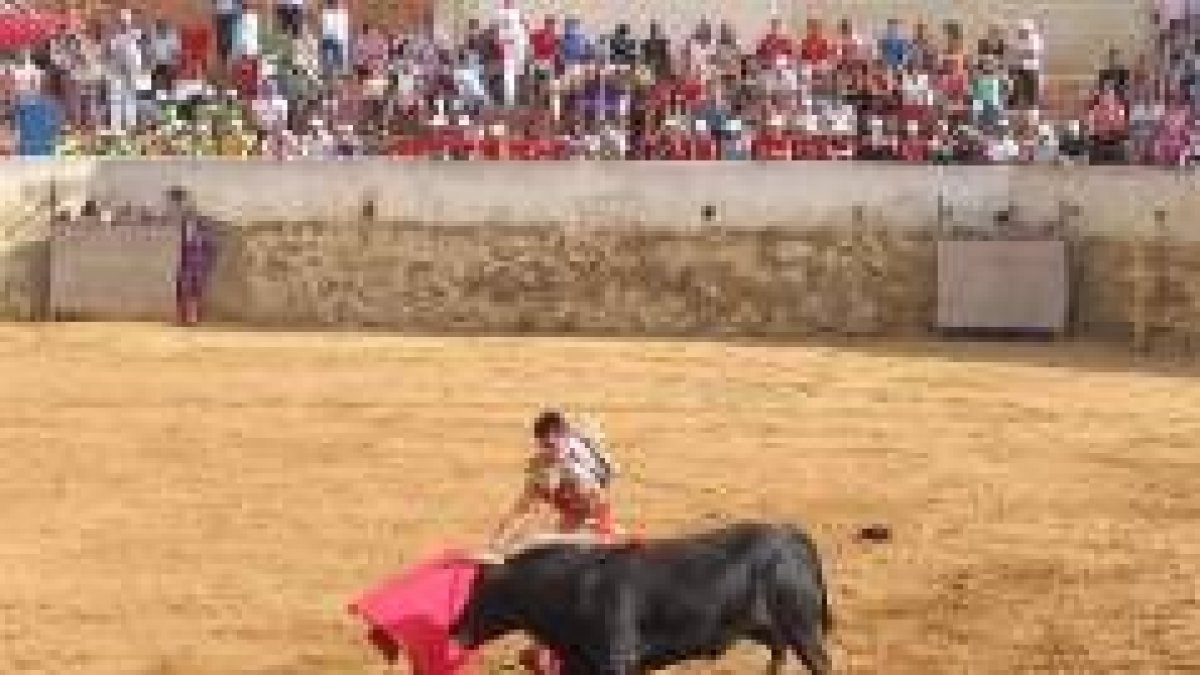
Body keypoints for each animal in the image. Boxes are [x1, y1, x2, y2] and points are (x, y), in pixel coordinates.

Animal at [451, 521, 835, 672]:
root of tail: (790, 534)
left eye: (483, 590)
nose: (456, 631)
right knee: (778, 652)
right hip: (768, 627)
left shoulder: (618, 660)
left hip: (803, 628)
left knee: (818, 661)